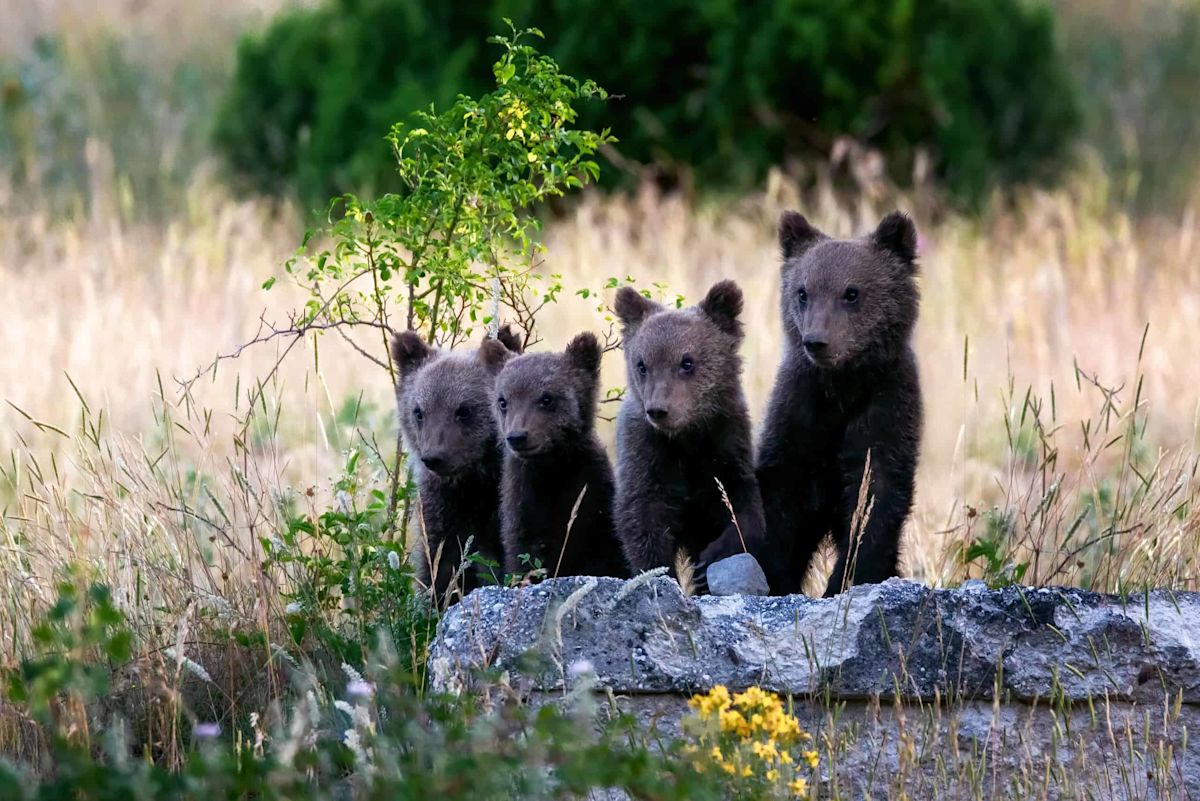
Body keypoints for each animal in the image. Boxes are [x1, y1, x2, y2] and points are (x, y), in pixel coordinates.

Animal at [490, 332, 628, 580]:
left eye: (546, 398)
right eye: (503, 401)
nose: (517, 436)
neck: (553, 469)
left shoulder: (592, 494)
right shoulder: (524, 501)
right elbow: (524, 553)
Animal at [612, 280, 767, 587]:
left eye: (687, 362)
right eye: (642, 364)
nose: (658, 410)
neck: (687, 437)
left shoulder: (727, 442)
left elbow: (744, 507)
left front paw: (709, 559)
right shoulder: (646, 453)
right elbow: (642, 518)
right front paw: (661, 573)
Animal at [756, 210, 923, 597]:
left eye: (851, 292)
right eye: (803, 292)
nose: (817, 341)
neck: (842, 387)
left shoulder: (885, 407)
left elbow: (873, 499)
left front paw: (845, 581)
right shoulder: (800, 411)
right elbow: (781, 498)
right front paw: (778, 579)